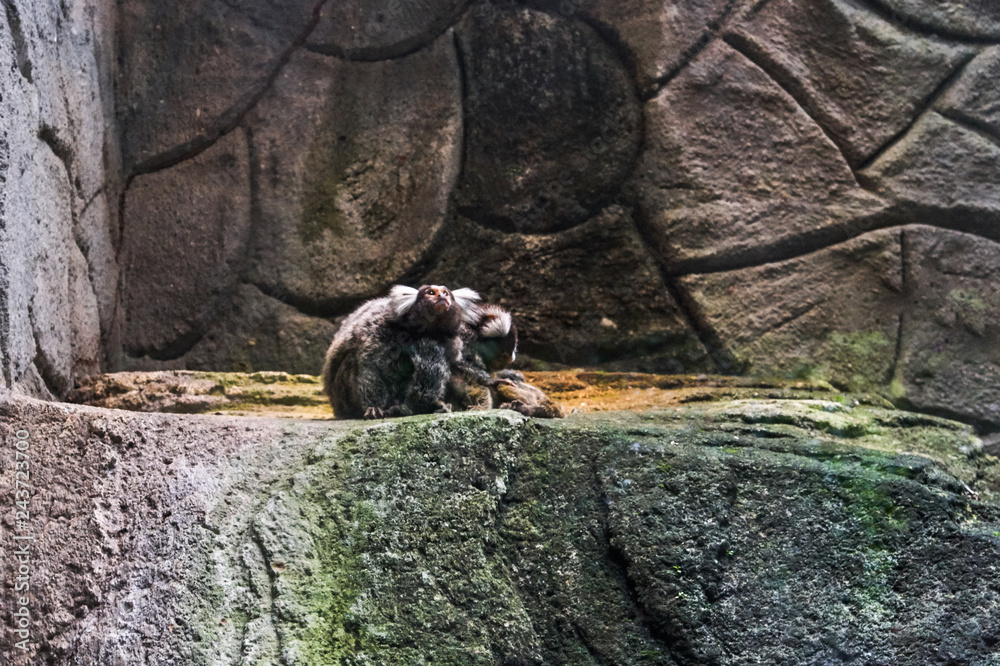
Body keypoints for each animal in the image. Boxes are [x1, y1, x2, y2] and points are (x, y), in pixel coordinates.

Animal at [322, 284, 482, 419]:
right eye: (431, 292)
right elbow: (371, 367)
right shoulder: (379, 330)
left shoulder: (451, 343)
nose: (442, 296)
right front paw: (374, 407)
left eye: (446, 293)